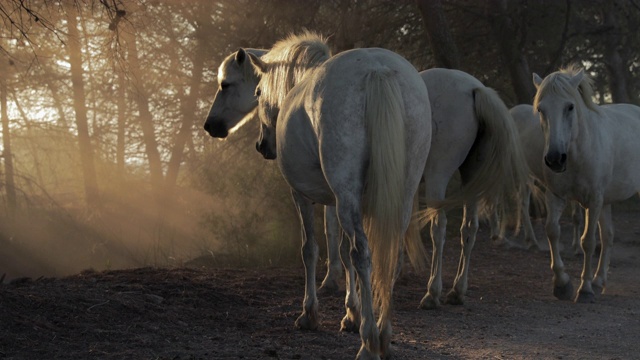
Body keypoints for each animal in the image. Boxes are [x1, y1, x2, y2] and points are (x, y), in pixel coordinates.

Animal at [246, 32, 430, 358]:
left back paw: (369, 342)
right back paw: (383, 336)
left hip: (346, 196)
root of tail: (377, 69)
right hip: (399, 196)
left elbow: (310, 249)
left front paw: (310, 314)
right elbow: (342, 253)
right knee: (391, 257)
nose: (262, 145)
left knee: (362, 254)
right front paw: (351, 314)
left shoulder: (303, 196)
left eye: (257, 92)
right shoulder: (342, 202)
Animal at [532, 65, 640, 304]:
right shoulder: (556, 196)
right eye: (541, 109)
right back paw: (600, 281)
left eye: (570, 106)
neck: (577, 152)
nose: (555, 159)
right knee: (608, 237)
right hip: (606, 202)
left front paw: (585, 289)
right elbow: (552, 231)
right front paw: (562, 284)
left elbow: (588, 241)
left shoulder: (594, 200)